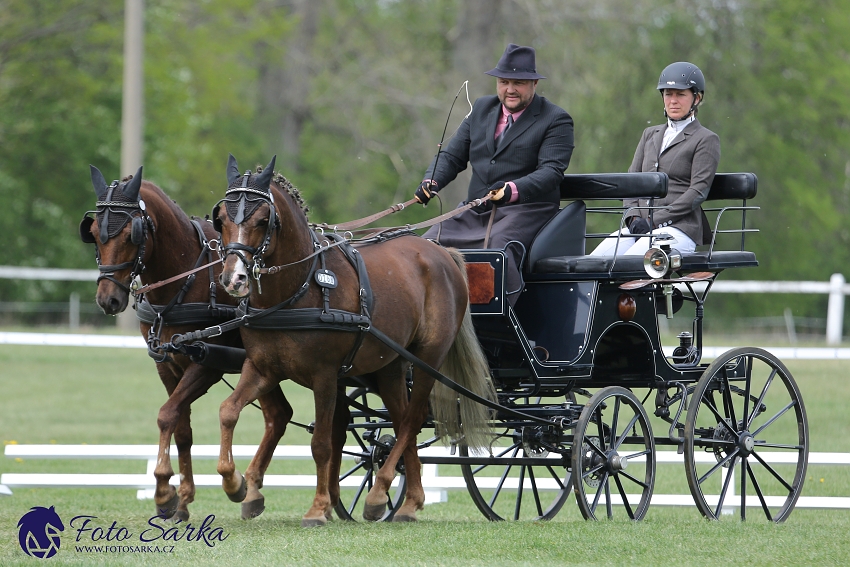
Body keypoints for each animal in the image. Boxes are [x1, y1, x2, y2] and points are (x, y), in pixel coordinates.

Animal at [80, 166, 292, 520]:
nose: (108, 299)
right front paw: (182, 499)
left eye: (131, 234)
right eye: (94, 232)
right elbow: (181, 427)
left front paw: (165, 492)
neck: (186, 276)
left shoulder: (207, 363)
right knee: (278, 414)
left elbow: (167, 415)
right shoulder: (167, 365)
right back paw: (252, 491)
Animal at [214, 156, 496, 528]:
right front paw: (236, 485)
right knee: (403, 419)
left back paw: (379, 494)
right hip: (391, 366)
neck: (299, 289)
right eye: (220, 219)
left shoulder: (324, 376)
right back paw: (409, 502)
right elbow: (228, 411)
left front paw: (318, 509)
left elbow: (322, 443)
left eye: (263, 220)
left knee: (413, 418)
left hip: (427, 359)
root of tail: (439, 251)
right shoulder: (262, 368)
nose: (234, 279)